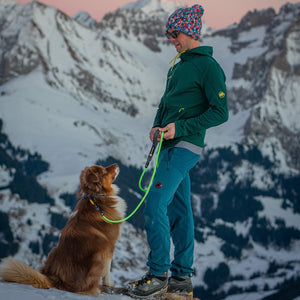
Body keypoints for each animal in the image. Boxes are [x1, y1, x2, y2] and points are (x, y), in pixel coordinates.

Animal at [0, 164, 126, 296]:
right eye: (104, 171)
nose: (116, 164)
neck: (98, 198)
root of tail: (55, 279)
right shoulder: (109, 246)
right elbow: (107, 270)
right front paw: (109, 284)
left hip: (53, 250)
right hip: (97, 257)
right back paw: (96, 289)